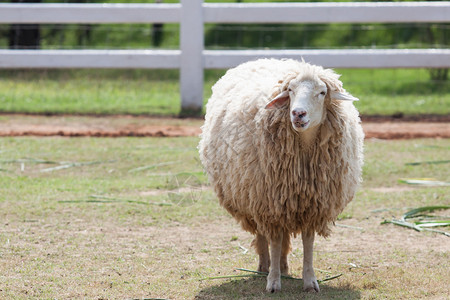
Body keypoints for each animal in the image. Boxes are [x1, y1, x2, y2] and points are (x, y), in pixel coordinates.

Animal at [199, 58, 364, 292]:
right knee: (262, 234)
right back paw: (264, 267)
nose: (298, 113)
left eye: (322, 92)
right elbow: (275, 241)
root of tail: (263, 59)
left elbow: (308, 242)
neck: (304, 147)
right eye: (291, 90)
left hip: (283, 199)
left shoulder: (312, 204)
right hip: (254, 196)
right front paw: (273, 282)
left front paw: (310, 281)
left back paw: (284, 266)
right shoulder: (269, 203)